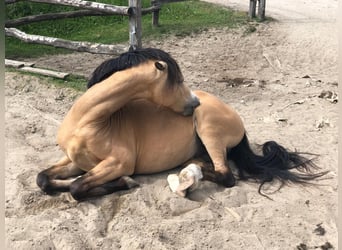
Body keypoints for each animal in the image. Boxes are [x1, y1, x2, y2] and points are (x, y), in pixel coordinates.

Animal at [36, 47, 326, 200]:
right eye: (178, 80)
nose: (194, 102)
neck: (89, 122)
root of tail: (237, 120)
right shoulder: (74, 161)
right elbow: (44, 179)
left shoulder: (118, 162)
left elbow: (77, 187)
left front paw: (126, 182)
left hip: (209, 130)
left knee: (225, 175)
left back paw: (189, 176)